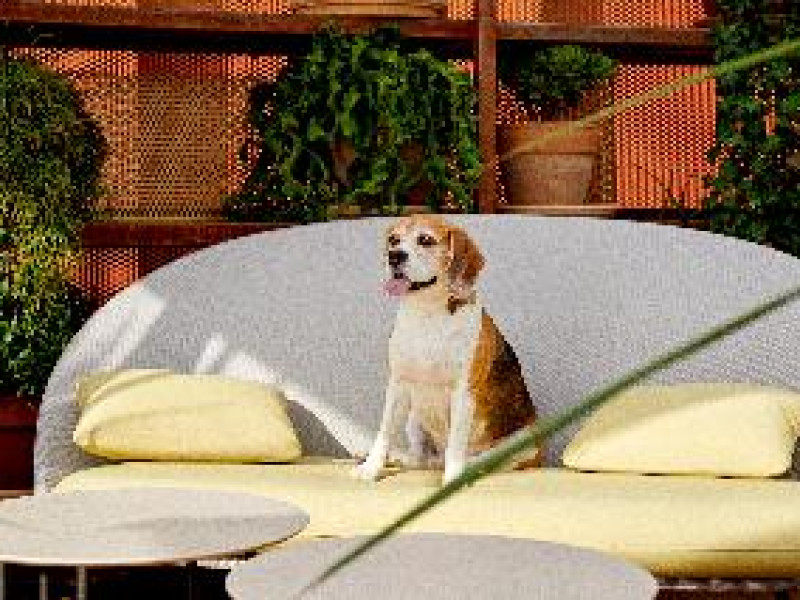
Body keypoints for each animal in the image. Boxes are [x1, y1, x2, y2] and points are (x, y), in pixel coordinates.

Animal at [354, 214, 539, 485]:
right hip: (414, 416)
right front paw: (370, 468)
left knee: (475, 461)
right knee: (422, 460)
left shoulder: (463, 391)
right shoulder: (398, 383)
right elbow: (384, 432)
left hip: (520, 442)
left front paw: (451, 482)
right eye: (393, 240)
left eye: (425, 240)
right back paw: (398, 457)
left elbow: (455, 445)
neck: (427, 314)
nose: (394, 256)